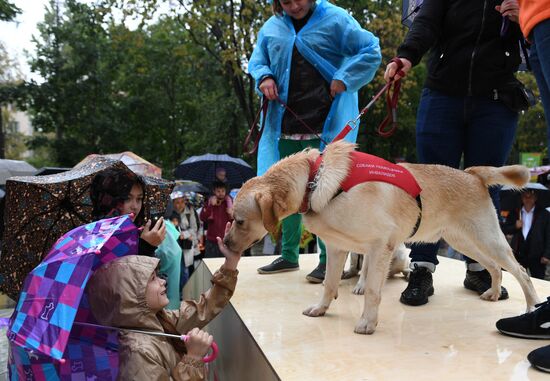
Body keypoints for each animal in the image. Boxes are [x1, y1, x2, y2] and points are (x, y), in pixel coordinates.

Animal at [225, 140, 544, 332]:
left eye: (239, 220)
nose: (225, 244)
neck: (314, 180)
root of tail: (472, 174)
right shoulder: (338, 248)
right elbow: (329, 285)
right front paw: (321, 309)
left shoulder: (380, 246)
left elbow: (372, 290)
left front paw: (368, 322)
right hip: (465, 241)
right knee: (494, 268)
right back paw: (492, 292)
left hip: (488, 239)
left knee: (521, 271)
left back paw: (531, 307)